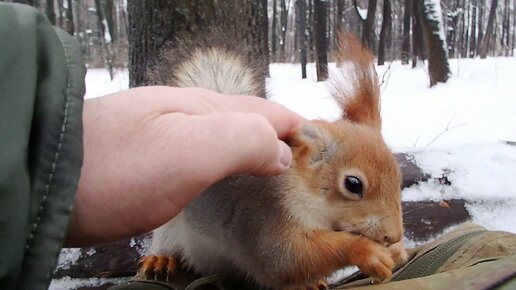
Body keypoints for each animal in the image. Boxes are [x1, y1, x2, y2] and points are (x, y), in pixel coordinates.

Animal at [139, 32, 410, 288]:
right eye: (353, 184)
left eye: (398, 175)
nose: (394, 236)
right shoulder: (267, 220)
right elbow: (287, 260)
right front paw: (367, 251)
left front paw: (397, 252)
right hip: (171, 221)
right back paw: (161, 258)